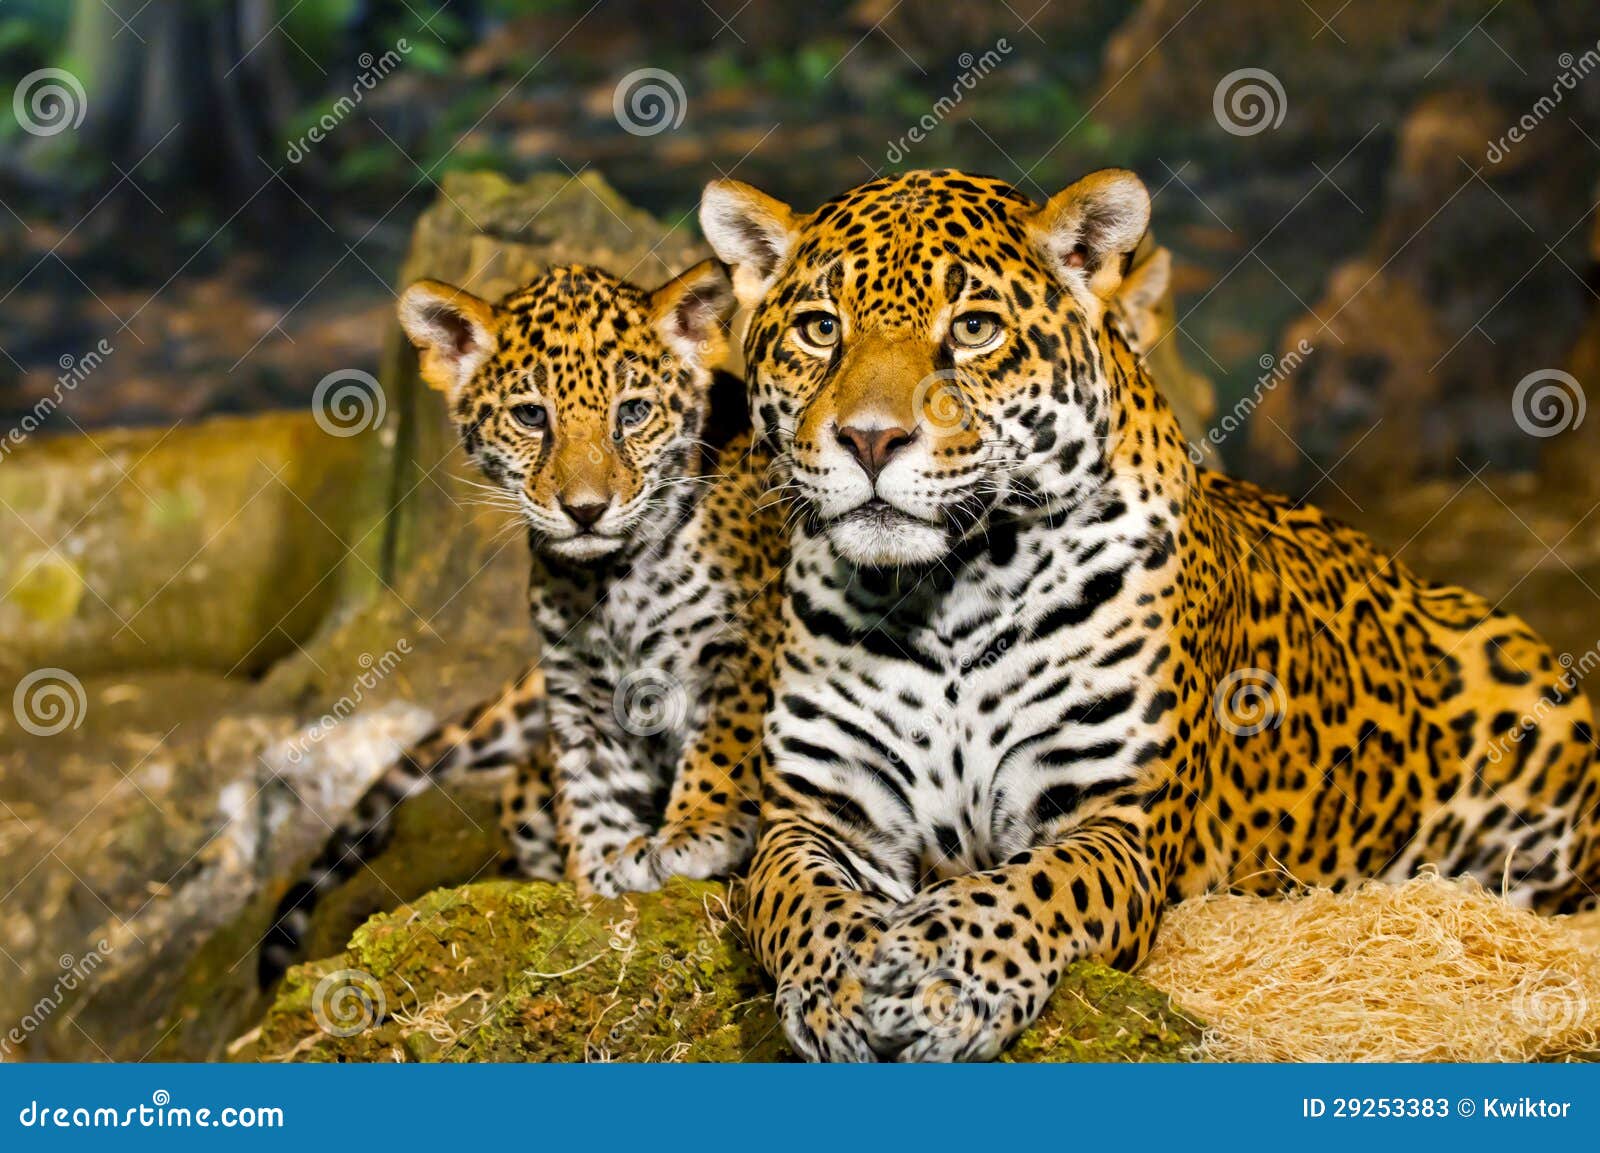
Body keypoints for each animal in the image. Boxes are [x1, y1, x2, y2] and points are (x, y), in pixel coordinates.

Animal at [258, 260, 782, 985]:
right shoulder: (582, 696)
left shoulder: (745, 645)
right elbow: (592, 792)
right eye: (532, 416)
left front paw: (695, 830)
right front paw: (597, 880)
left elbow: (724, 742)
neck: (609, 583)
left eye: (633, 412)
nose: (586, 510)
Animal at [699, 167, 1600, 1062]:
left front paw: (940, 974)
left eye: (976, 328)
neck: (945, 593)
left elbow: (1021, 891)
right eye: (820, 329)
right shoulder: (819, 816)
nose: (870, 440)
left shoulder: (1115, 822)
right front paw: (841, 987)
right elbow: (803, 901)